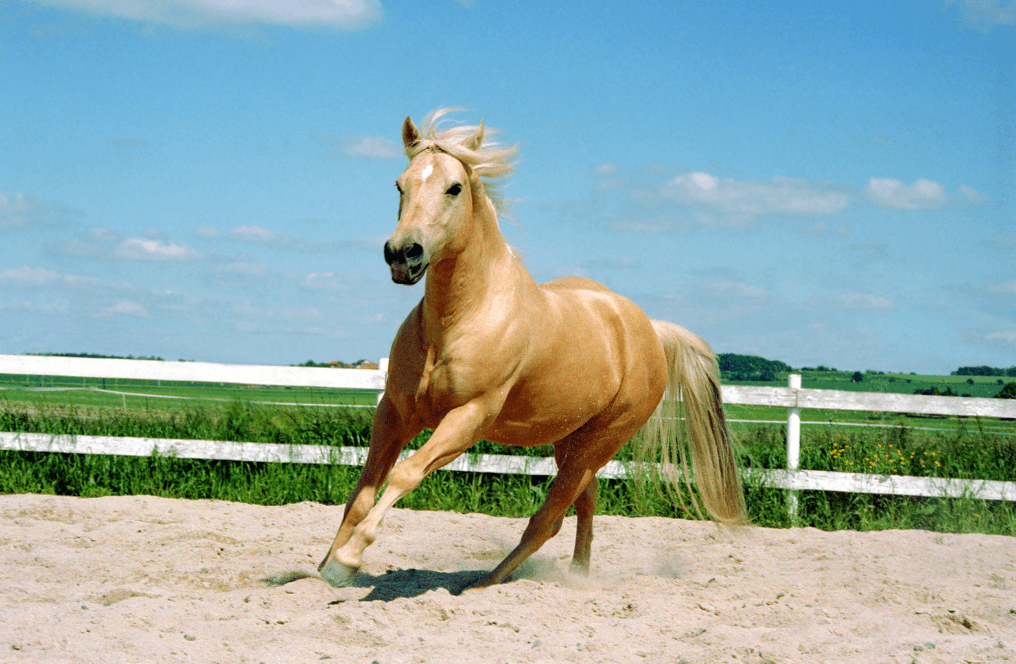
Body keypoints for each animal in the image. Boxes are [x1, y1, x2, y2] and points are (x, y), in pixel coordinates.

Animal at [318, 109, 746, 592]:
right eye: (399, 184)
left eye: (454, 187)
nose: (402, 255)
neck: (461, 320)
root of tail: (649, 330)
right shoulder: (394, 412)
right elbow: (362, 492)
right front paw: (322, 567)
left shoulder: (469, 418)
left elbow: (405, 473)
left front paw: (347, 560)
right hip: (570, 438)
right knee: (584, 500)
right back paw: (576, 575)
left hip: (600, 441)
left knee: (549, 518)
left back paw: (484, 583)